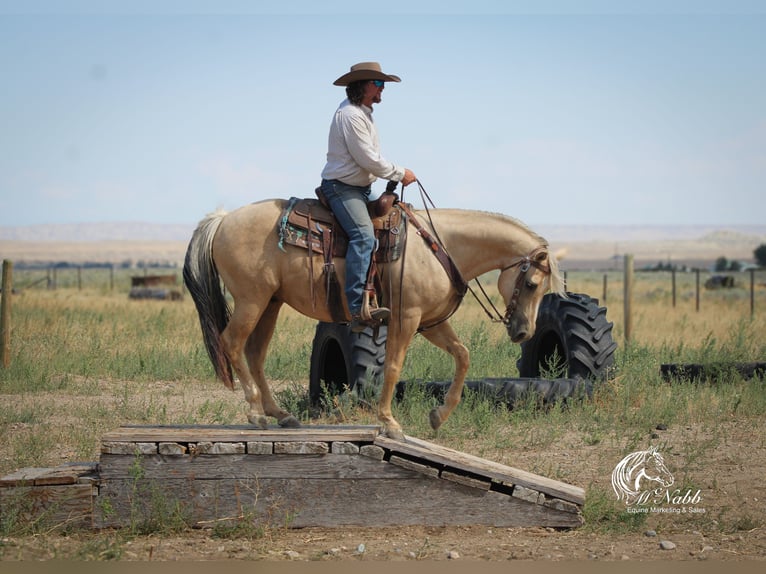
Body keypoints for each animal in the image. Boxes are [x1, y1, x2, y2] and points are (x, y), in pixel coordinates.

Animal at [183, 197, 565, 441]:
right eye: (532, 284)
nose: (524, 332)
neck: (440, 247)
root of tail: (223, 219)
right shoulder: (406, 318)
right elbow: (394, 367)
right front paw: (389, 423)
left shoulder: (431, 322)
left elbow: (463, 355)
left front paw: (438, 416)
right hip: (252, 300)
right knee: (232, 343)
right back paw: (255, 413)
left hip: (271, 303)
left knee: (255, 354)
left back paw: (281, 415)